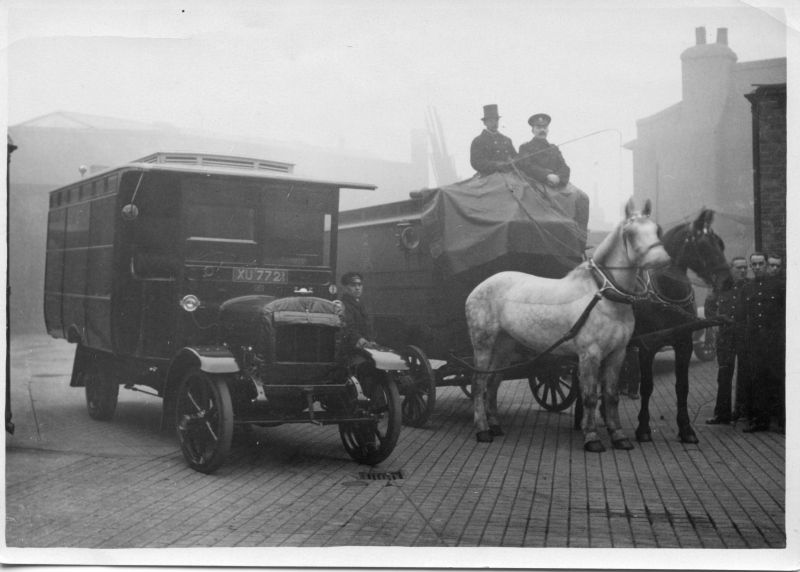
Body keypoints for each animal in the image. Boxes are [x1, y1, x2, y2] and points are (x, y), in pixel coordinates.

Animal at [462, 199, 668, 454]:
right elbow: (590, 396)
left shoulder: (618, 353)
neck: (604, 297)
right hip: (483, 344)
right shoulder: (590, 354)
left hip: (504, 347)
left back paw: (495, 425)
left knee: (492, 383)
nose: (661, 260)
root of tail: (478, 288)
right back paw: (482, 430)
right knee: (478, 383)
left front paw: (619, 436)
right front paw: (592, 438)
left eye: (657, 229)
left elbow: (611, 396)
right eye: (630, 233)